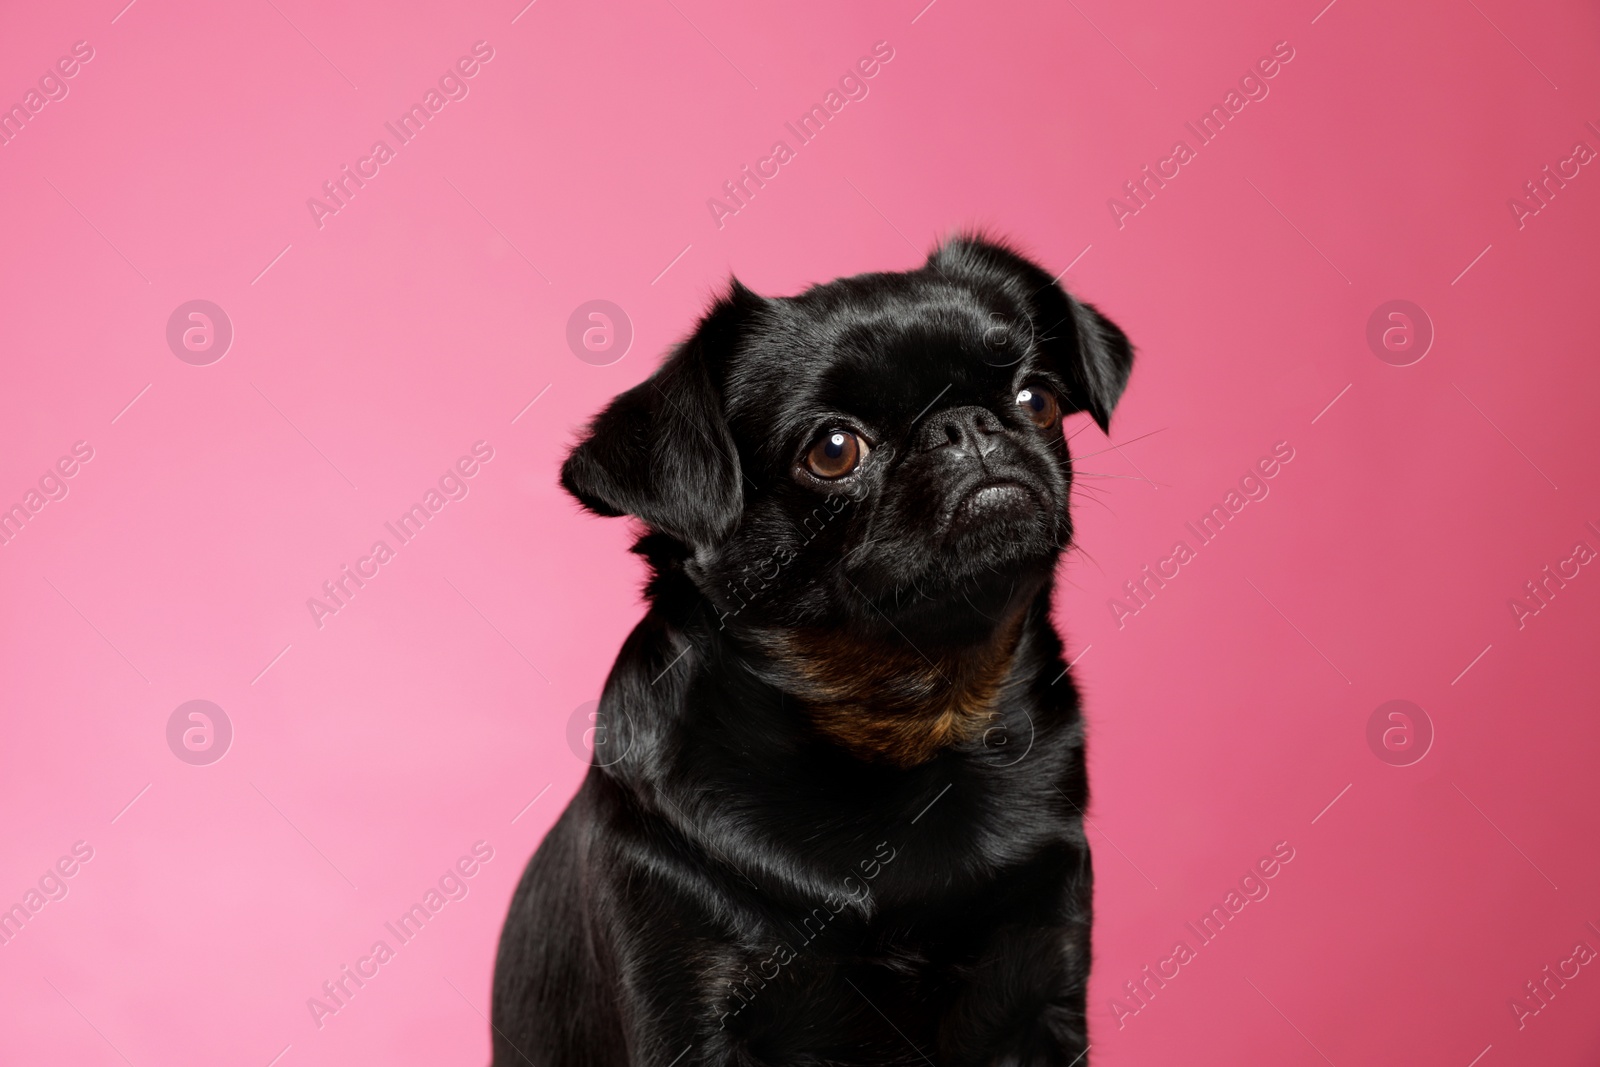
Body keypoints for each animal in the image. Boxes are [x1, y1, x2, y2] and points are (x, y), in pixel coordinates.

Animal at [492, 238, 1132, 1067]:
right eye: (832, 450)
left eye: (1036, 400)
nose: (966, 423)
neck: (908, 719)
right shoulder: (689, 1016)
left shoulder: (1047, 995)